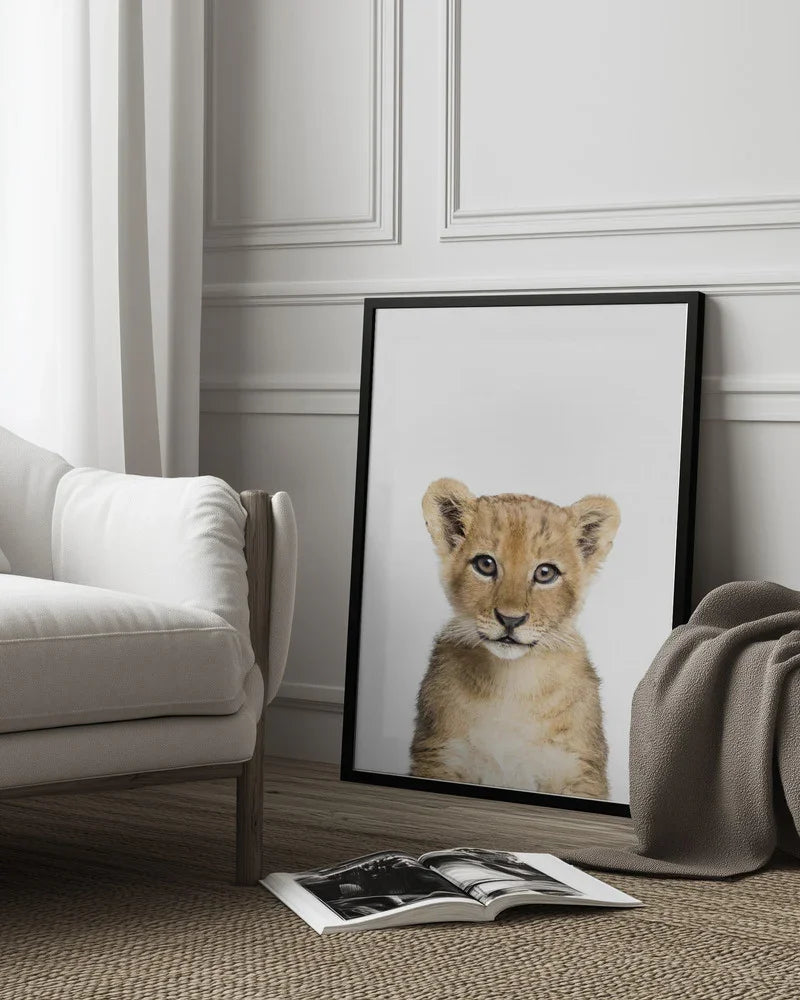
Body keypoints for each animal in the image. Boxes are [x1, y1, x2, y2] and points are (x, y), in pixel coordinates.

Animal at [409, 478, 620, 799]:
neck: (511, 682)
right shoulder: (439, 755)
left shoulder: (578, 769)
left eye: (545, 573)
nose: (510, 620)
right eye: (485, 564)